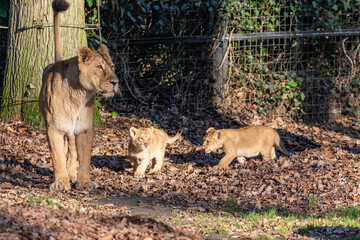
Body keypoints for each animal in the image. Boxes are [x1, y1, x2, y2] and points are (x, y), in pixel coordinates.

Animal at [39, 0, 119, 191]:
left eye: (112, 66)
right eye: (99, 67)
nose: (116, 82)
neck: (79, 95)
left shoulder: (84, 128)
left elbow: (85, 158)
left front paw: (84, 181)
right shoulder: (54, 128)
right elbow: (57, 157)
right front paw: (61, 183)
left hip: (73, 130)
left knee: (73, 152)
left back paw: (73, 175)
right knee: (65, 151)